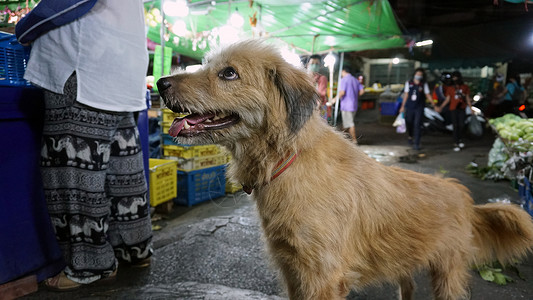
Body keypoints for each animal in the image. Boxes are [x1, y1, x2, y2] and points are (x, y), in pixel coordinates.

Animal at [155, 40, 532, 300]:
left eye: (229, 73)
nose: (159, 84)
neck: (286, 159)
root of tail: (465, 198)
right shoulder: (292, 270)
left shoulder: (320, 278)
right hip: (404, 264)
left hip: (447, 274)